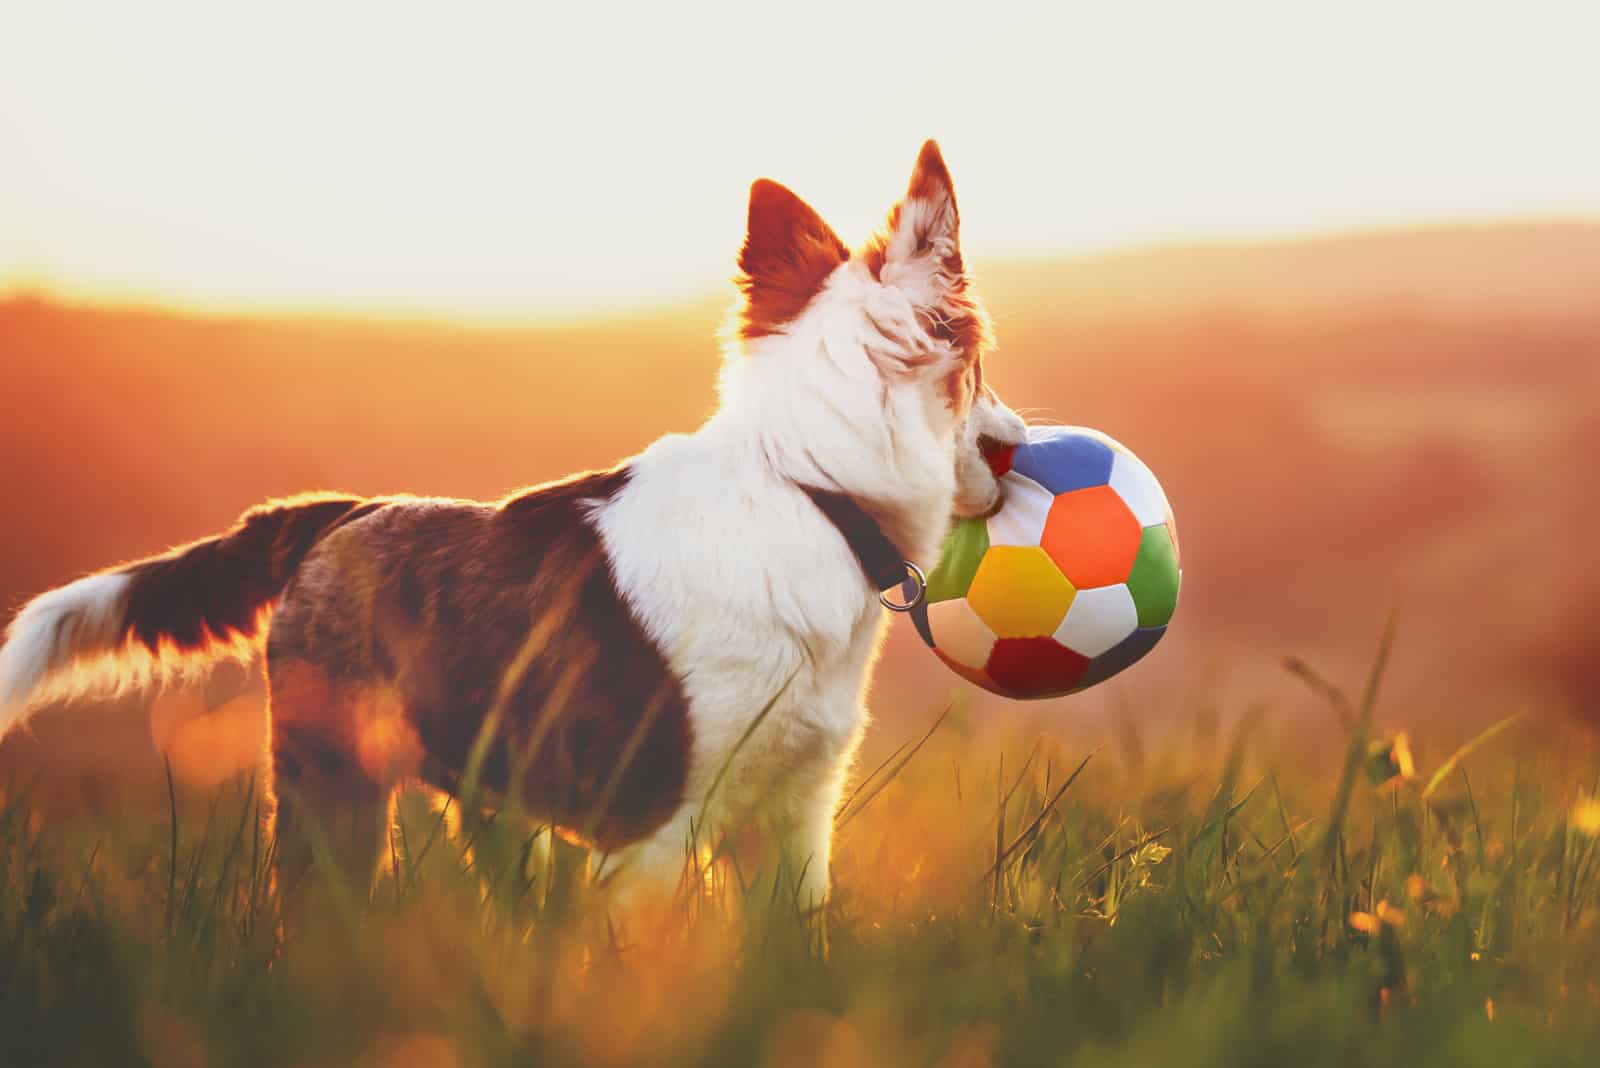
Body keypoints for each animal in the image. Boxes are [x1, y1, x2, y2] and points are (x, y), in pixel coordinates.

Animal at [0, 139, 1024, 908]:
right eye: (981, 373)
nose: (1018, 447)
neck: (809, 490)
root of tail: (338, 515)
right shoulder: (647, 827)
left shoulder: (794, 818)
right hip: (335, 788)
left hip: (489, 803)